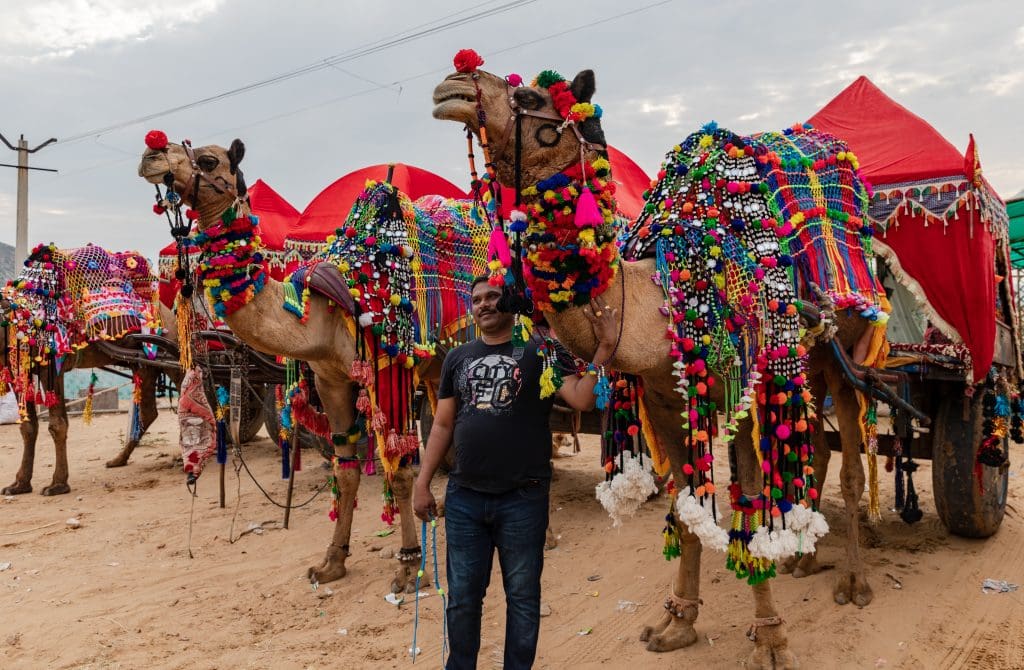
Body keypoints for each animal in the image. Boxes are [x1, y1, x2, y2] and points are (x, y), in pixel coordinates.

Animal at [2, 247, 180, 497]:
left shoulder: (52, 366)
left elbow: (57, 424)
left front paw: (58, 484)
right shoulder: (20, 369)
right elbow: (27, 426)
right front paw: (19, 484)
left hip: (170, 350)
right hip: (145, 364)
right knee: (149, 411)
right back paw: (118, 460)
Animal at [141, 132, 499, 594]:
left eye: (208, 160)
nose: (151, 153)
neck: (324, 309)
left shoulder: (388, 370)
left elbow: (399, 467)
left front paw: (407, 565)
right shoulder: (330, 379)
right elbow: (345, 469)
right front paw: (332, 561)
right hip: (440, 361)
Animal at [432, 53, 897, 667]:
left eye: (530, 98)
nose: (453, 83)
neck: (657, 294)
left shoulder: (740, 389)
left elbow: (747, 502)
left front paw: (771, 640)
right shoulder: (661, 395)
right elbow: (684, 506)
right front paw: (676, 624)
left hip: (845, 352)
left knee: (848, 464)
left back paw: (854, 582)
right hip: (810, 364)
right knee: (814, 448)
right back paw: (802, 557)